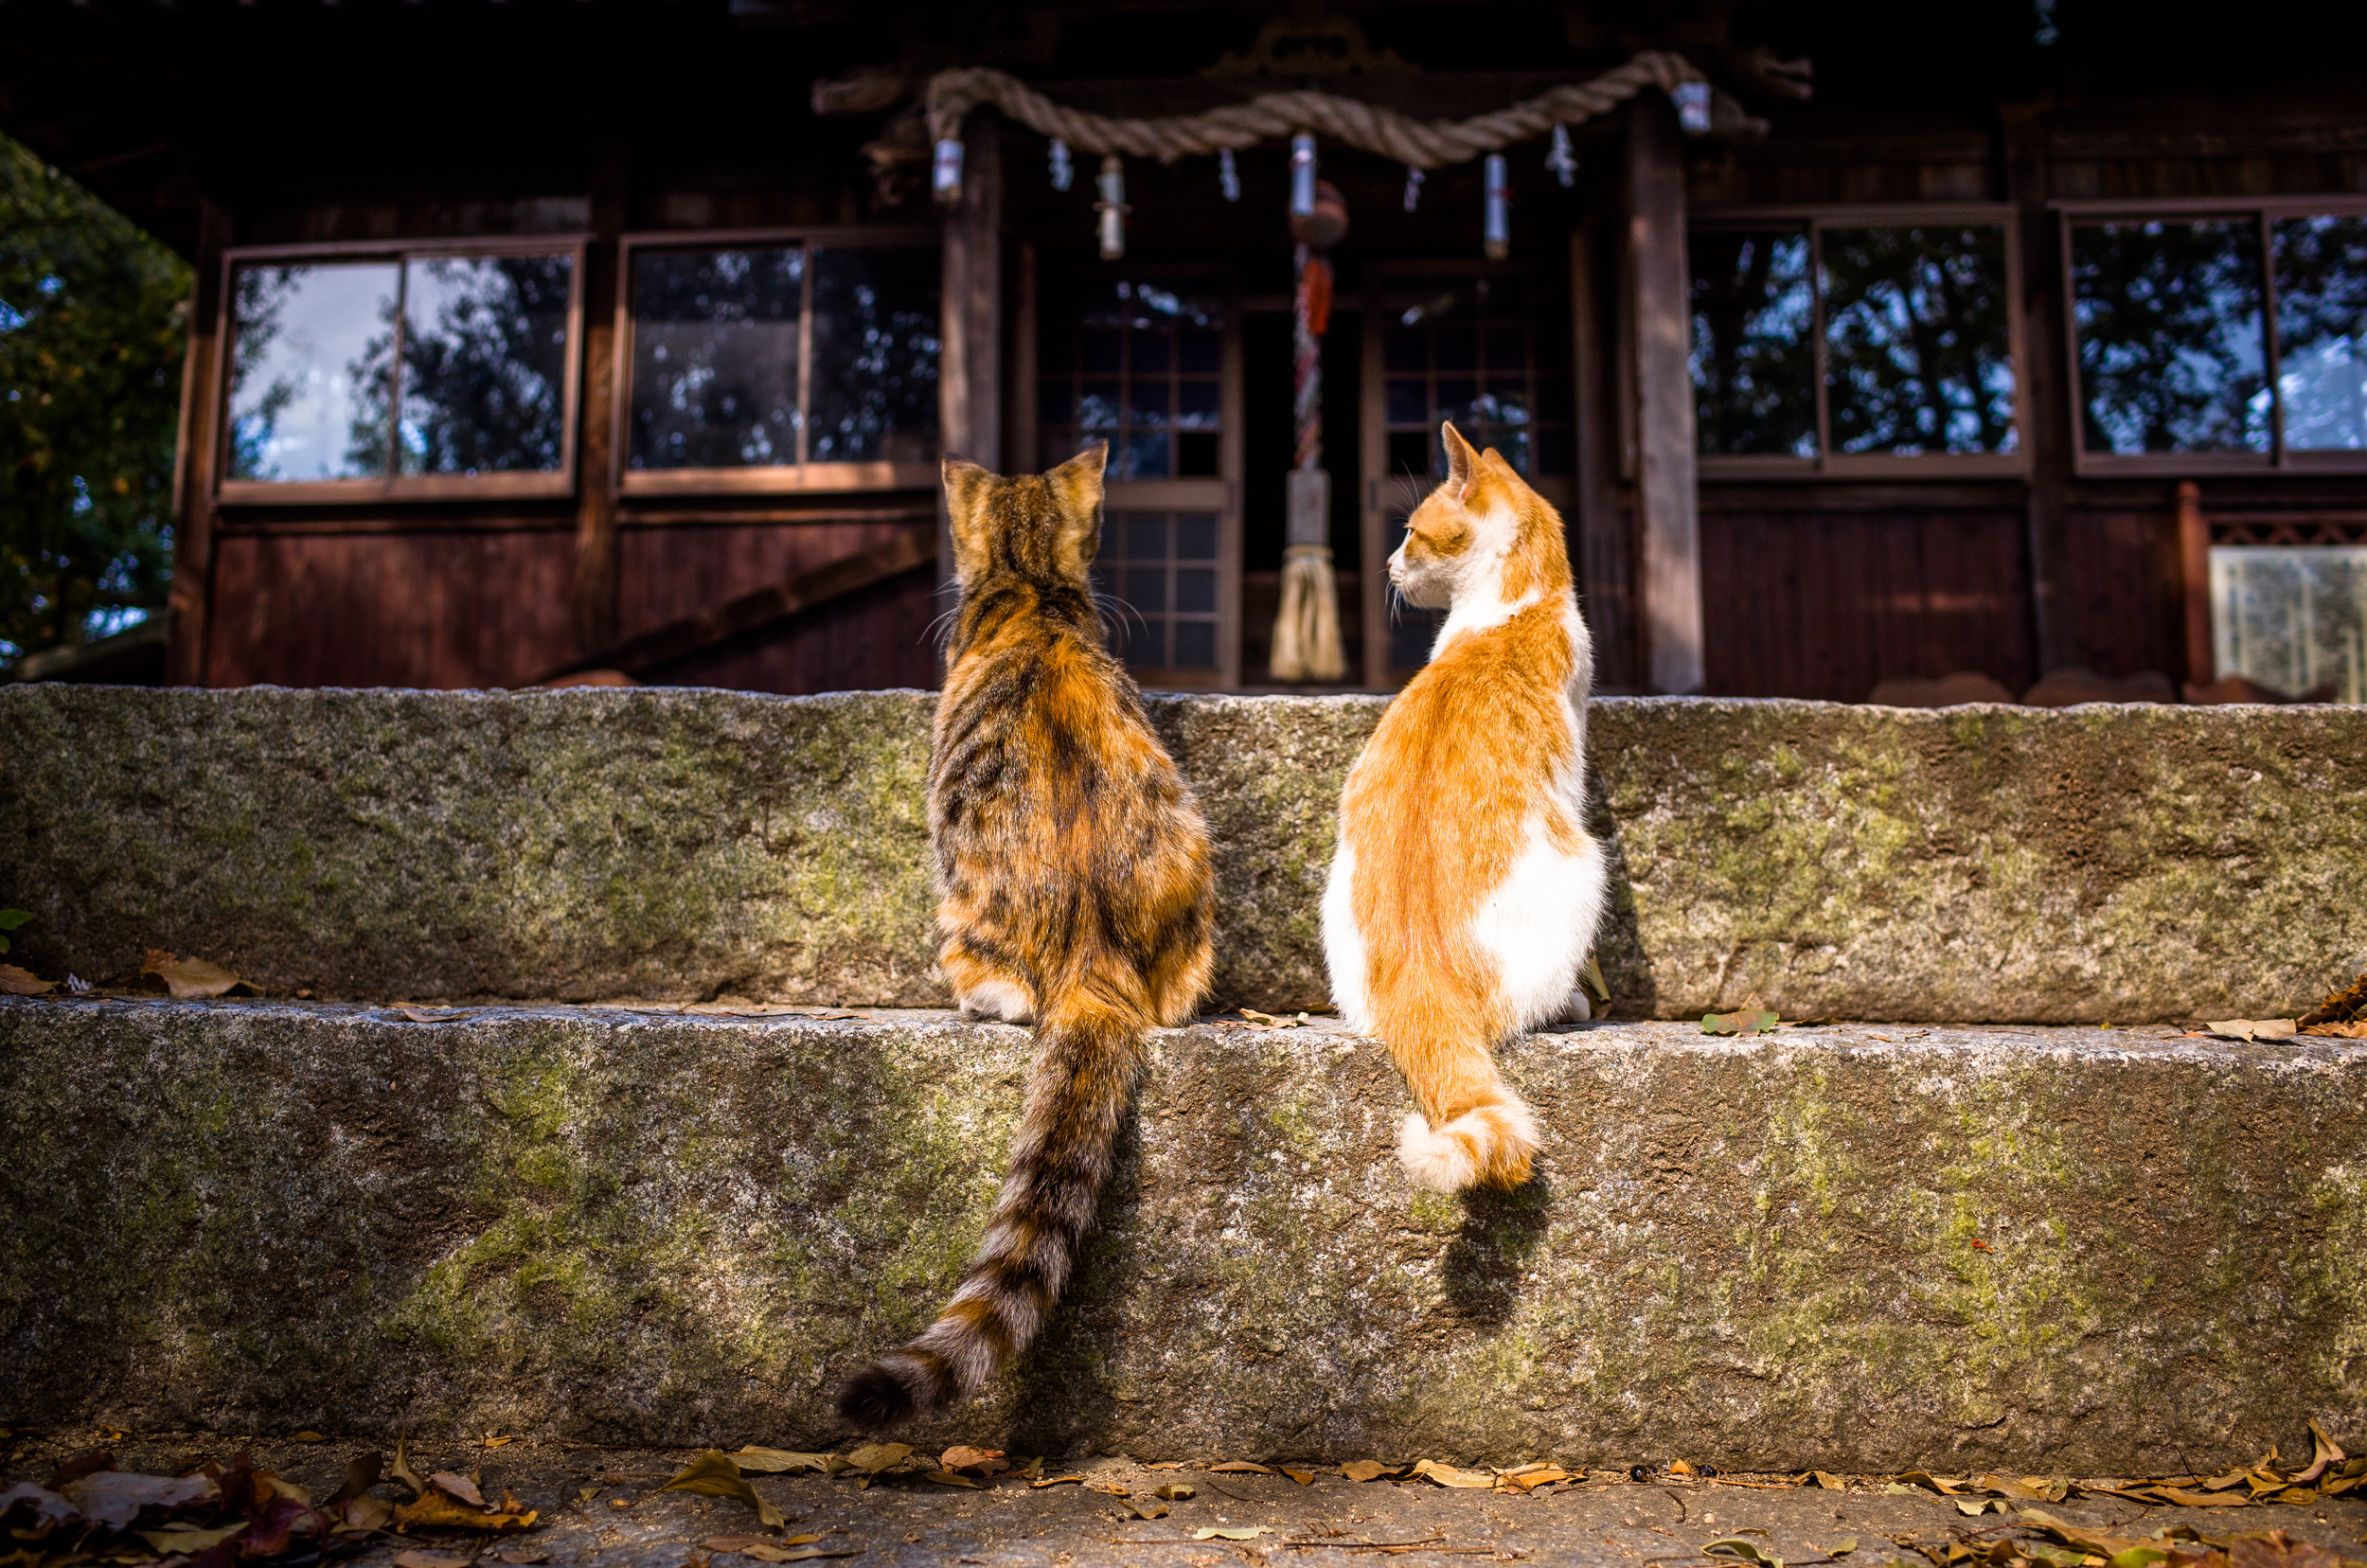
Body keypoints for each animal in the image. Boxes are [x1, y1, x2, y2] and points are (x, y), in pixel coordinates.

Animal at [1326, 421, 1619, 1193]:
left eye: (1408, 532)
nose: (1388, 563)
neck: (1515, 606)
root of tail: (1417, 969)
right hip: (1583, 867)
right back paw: (1571, 1005)